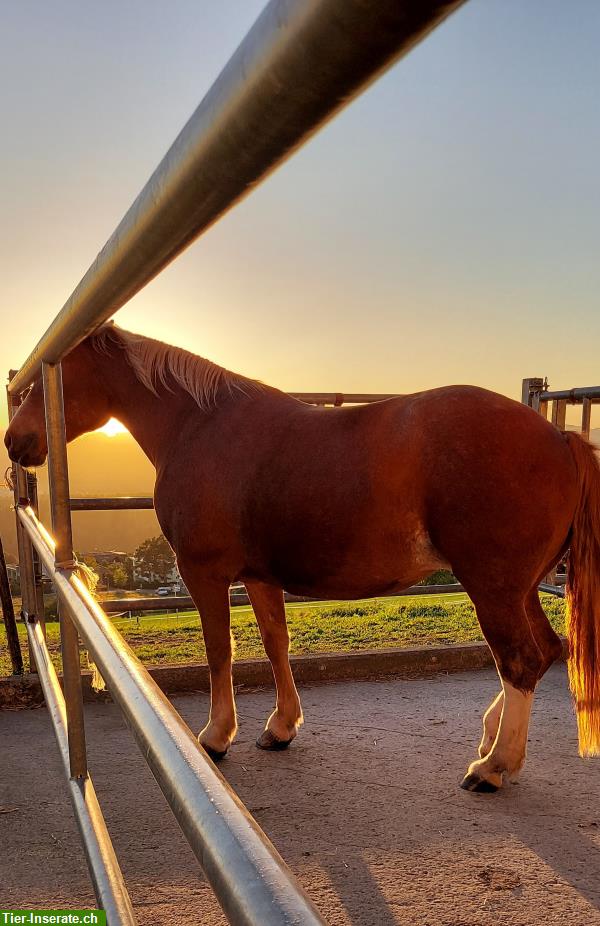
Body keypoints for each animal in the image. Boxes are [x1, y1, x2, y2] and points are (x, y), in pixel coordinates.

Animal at [5, 324, 600, 792]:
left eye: (52, 379)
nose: (15, 442)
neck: (199, 426)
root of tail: (558, 436)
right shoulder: (260, 577)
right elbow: (276, 645)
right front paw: (281, 727)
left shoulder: (205, 574)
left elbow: (220, 651)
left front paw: (216, 737)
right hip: (520, 588)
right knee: (544, 652)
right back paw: (491, 736)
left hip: (492, 587)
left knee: (519, 659)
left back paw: (494, 766)